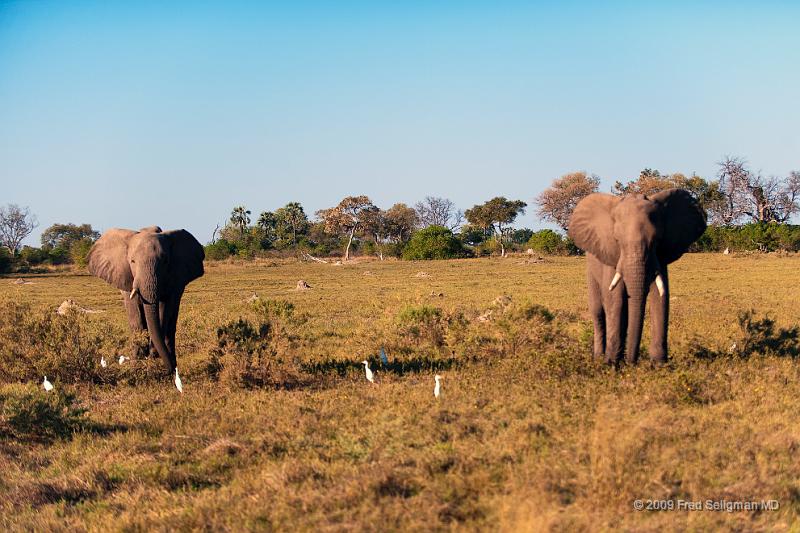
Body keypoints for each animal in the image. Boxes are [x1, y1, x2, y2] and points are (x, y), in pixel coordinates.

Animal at [87, 224, 205, 374]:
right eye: (132, 261)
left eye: (165, 261)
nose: (168, 370)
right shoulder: (126, 277)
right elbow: (135, 314)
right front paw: (136, 366)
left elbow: (164, 311)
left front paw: (153, 356)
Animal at [568, 189, 708, 364]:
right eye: (617, 240)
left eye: (657, 240)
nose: (632, 363)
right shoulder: (611, 256)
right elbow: (615, 300)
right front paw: (611, 364)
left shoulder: (660, 257)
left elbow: (661, 297)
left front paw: (659, 365)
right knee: (598, 312)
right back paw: (599, 358)